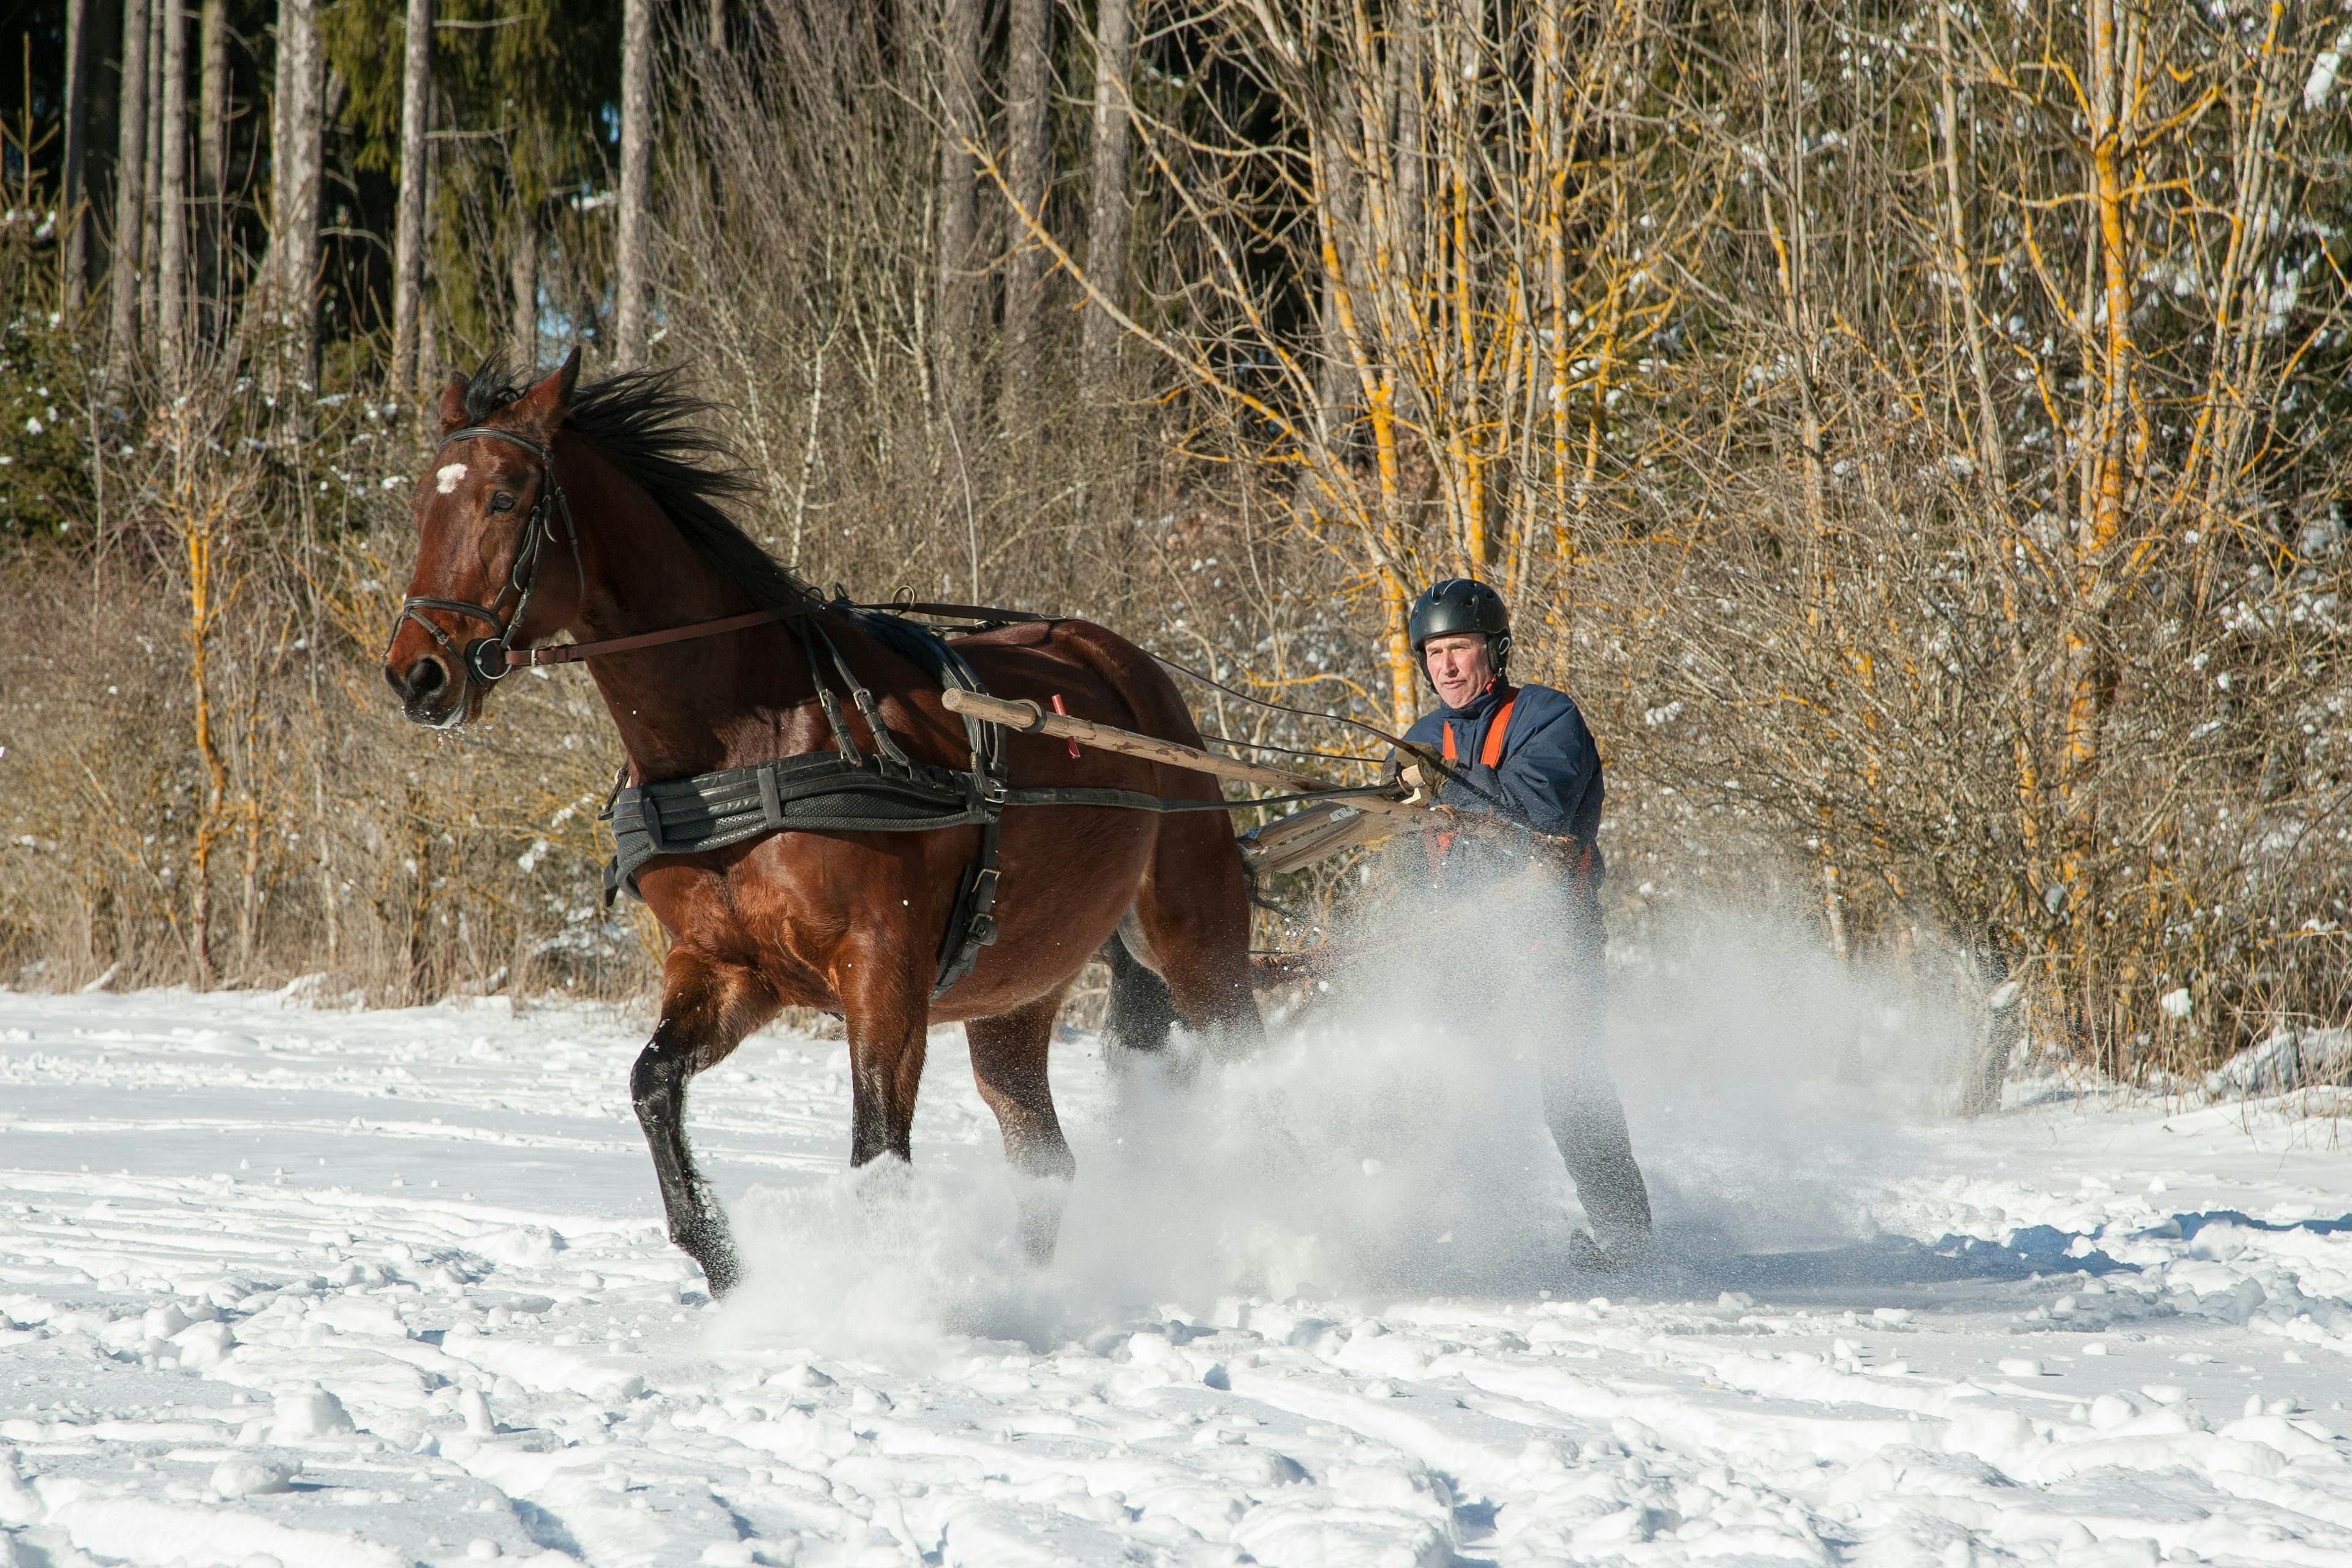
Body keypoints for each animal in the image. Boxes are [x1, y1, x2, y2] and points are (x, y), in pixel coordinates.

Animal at [381, 360, 1270, 1297]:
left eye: (506, 498)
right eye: (423, 503)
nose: (418, 674)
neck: (751, 738)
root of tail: (1130, 667)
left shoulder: (884, 970)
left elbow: (878, 1154)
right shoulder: (726, 967)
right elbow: (652, 1085)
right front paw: (722, 1260)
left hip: (1197, 938)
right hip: (1019, 989)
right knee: (1044, 1159)